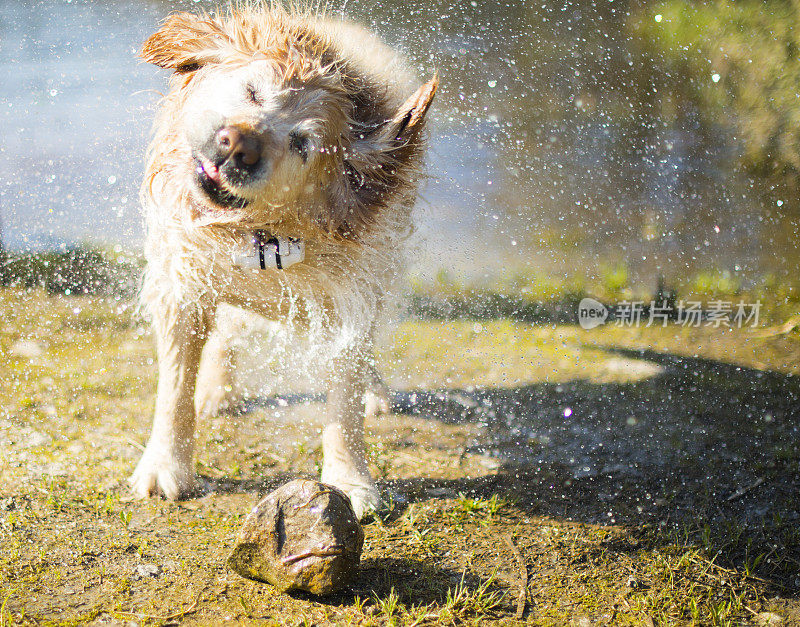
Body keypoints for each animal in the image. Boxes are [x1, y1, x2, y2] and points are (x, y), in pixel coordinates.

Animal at [130, 2, 438, 516]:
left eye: (302, 144)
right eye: (253, 92)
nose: (237, 145)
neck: (260, 236)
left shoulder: (352, 297)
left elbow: (344, 403)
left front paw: (349, 481)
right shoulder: (184, 285)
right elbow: (174, 389)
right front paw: (164, 465)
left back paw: (374, 389)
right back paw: (216, 389)